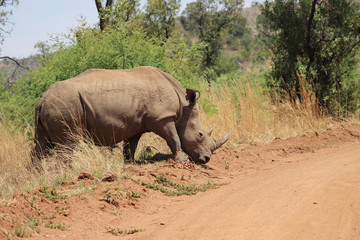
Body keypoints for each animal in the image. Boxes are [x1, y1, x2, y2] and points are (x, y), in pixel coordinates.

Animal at [33, 66, 231, 164]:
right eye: (200, 134)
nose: (206, 159)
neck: (183, 106)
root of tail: (42, 100)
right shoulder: (162, 117)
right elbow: (174, 138)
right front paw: (182, 160)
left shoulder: (137, 124)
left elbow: (131, 145)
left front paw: (130, 164)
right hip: (65, 105)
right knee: (68, 144)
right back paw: (67, 174)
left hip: (51, 108)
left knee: (41, 147)